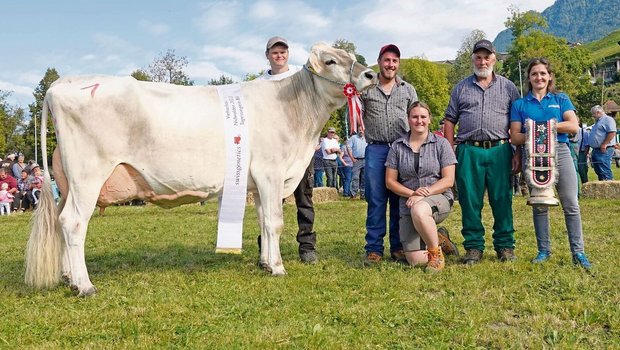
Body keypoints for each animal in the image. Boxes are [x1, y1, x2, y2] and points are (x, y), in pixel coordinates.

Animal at [24, 43, 376, 296]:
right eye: (330, 61)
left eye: (350, 56)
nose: (370, 76)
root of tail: (63, 84)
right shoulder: (271, 172)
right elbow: (275, 222)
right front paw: (277, 267)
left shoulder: (258, 182)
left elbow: (263, 221)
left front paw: (264, 262)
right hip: (88, 175)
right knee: (73, 223)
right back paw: (84, 285)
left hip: (68, 181)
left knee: (61, 220)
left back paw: (69, 276)